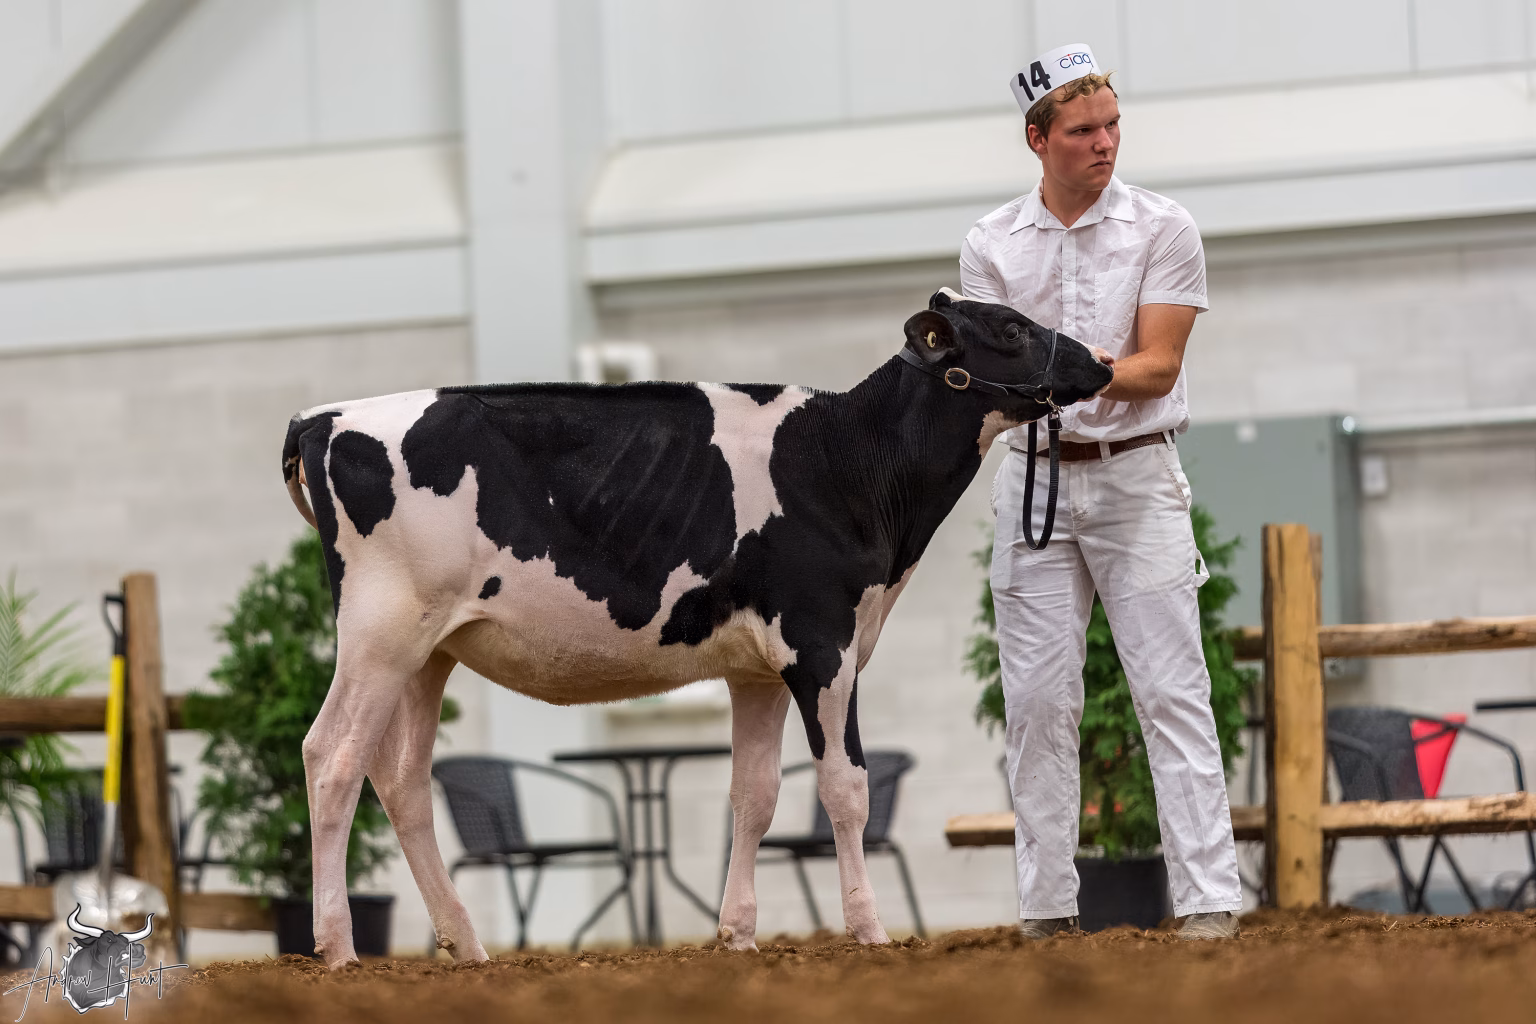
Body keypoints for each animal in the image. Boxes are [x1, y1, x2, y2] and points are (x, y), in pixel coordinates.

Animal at [281, 289, 1113, 967]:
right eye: (1012, 326)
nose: (1102, 362)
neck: (848, 460)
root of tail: (325, 418)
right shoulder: (823, 644)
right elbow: (845, 787)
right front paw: (870, 931)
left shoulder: (757, 667)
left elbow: (754, 796)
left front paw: (738, 933)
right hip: (381, 631)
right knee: (332, 757)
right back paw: (337, 948)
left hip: (430, 650)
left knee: (401, 779)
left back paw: (466, 945)